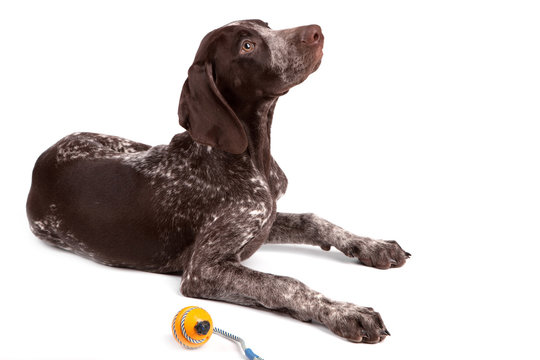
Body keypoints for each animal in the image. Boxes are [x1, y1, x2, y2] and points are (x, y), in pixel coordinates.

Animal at [26, 20, 410, 344]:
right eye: (247, 45)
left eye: (267, 25)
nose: (315, 31)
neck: (249, 157)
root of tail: (42, 159)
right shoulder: (203, 270)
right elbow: (286, 284)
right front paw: (343, 311)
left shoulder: (263, 221)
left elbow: (313, 221)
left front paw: (371, 245)